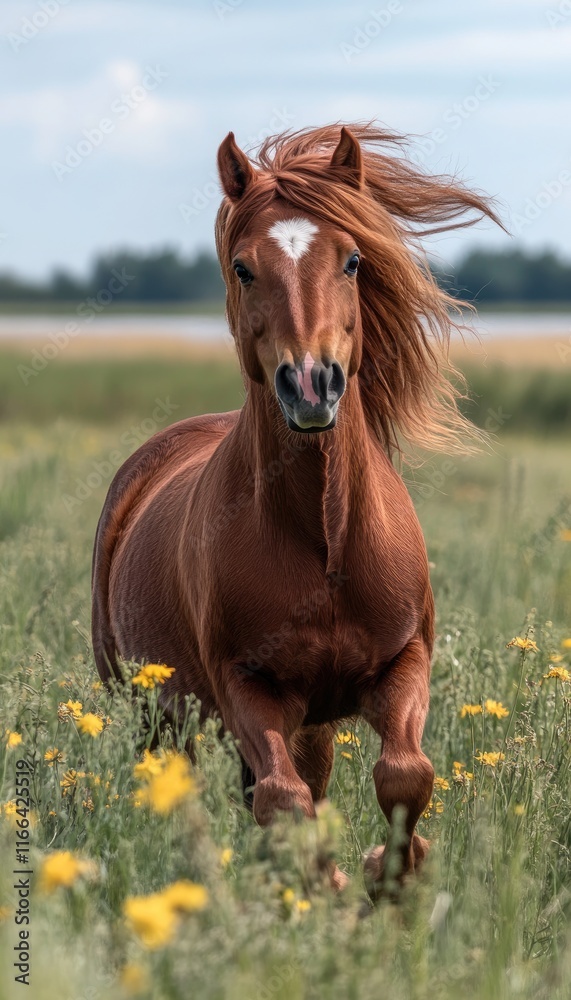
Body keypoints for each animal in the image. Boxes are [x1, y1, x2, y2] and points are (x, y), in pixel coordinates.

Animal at [92, 123, 498, 894]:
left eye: (352, 260)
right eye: (244, 268)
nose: (311, 383)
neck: (324, 538)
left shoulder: (401, 664)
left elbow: (405, 773)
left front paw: (388, 877)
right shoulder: (248, 686)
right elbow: (284, 803)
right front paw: (329, 887)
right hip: (151, 712)